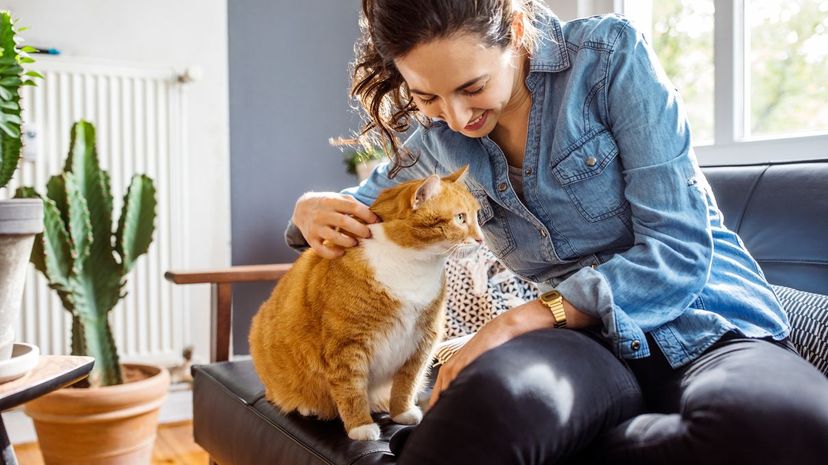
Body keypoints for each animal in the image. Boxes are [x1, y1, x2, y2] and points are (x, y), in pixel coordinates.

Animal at [249, 165, 482, 440]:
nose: (481, 240)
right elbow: (352, 390)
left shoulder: (423, 341)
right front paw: (360, 426)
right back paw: (308, 406)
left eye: (477, 216)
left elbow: (407, 382)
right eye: (460, 218)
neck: (413, 265)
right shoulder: (347, 345)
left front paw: (402, 412)